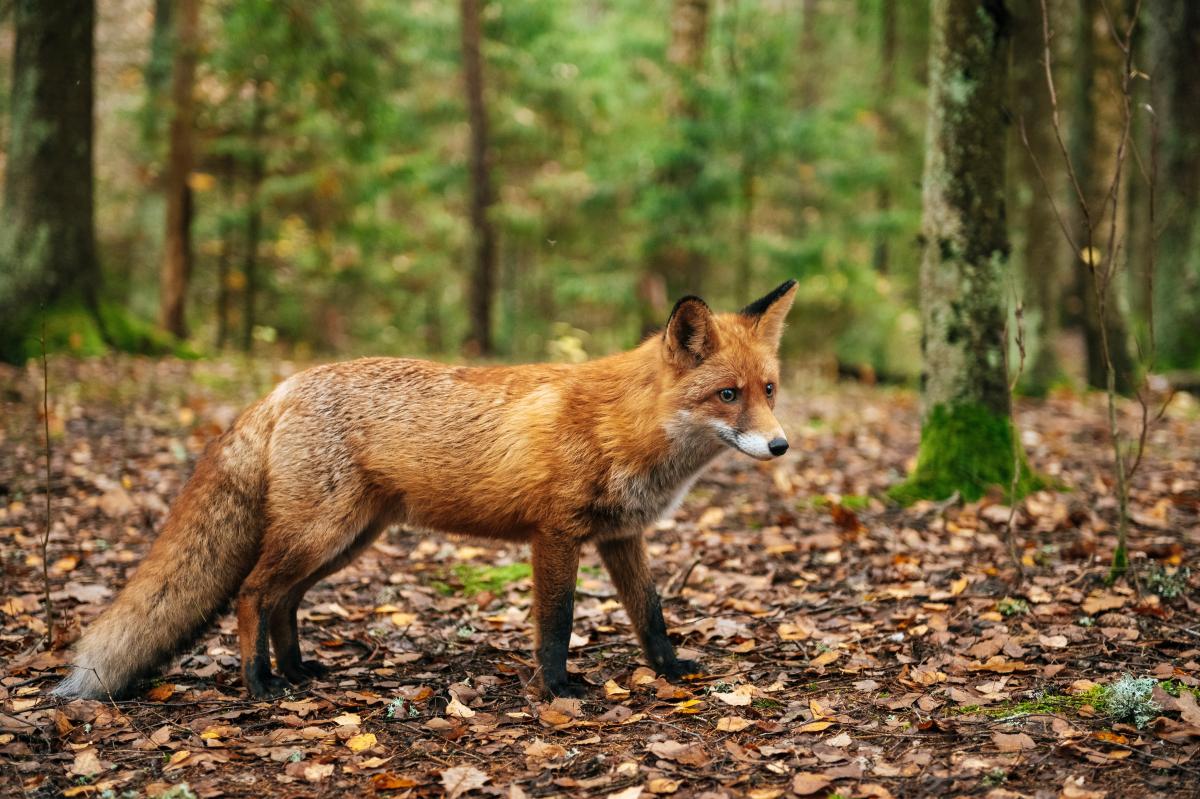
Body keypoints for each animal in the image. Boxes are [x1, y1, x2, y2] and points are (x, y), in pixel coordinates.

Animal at [53, 280, 797, 700]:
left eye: (769, 390)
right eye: (727, 396)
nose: (781, 446)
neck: (624, 427)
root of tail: (283, 387)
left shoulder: (622, 535)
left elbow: (651, 614)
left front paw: (670, 674)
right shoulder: (554, 534)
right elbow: (556, 623)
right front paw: (557, 689)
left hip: (347, 540)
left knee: (284, 600)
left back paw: (296, 672)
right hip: (320, 533)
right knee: (253, 592)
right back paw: (259, 683)